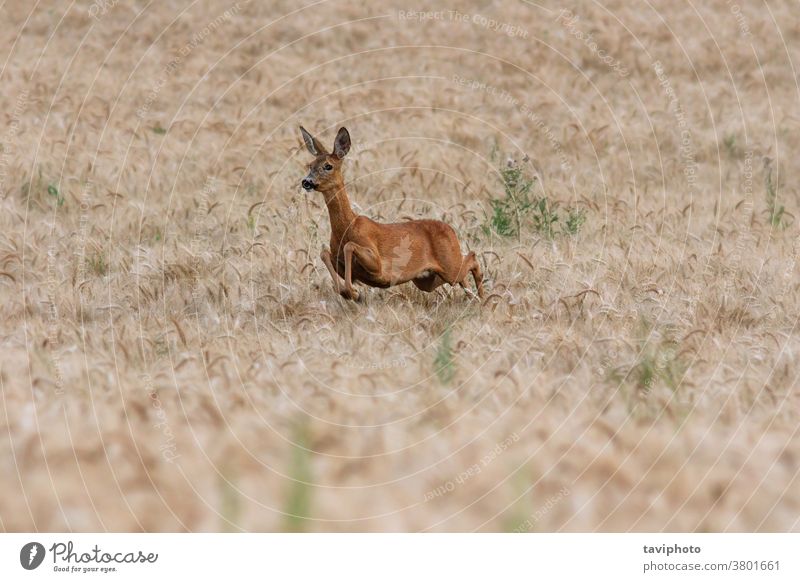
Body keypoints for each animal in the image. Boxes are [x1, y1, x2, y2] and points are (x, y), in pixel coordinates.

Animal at [300, 125, 488, 304]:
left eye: (328, 166)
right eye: (310, 165)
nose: (306, 181)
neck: (347, 227)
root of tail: (451, 230)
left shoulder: (377, 264)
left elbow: (349, 246)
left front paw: (353, 293)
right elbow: (324, 254)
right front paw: (351, 293)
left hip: (449, 264)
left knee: (472, 258)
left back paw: (483, 299)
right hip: (426, 278)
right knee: (461, 276)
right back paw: (474, 297)